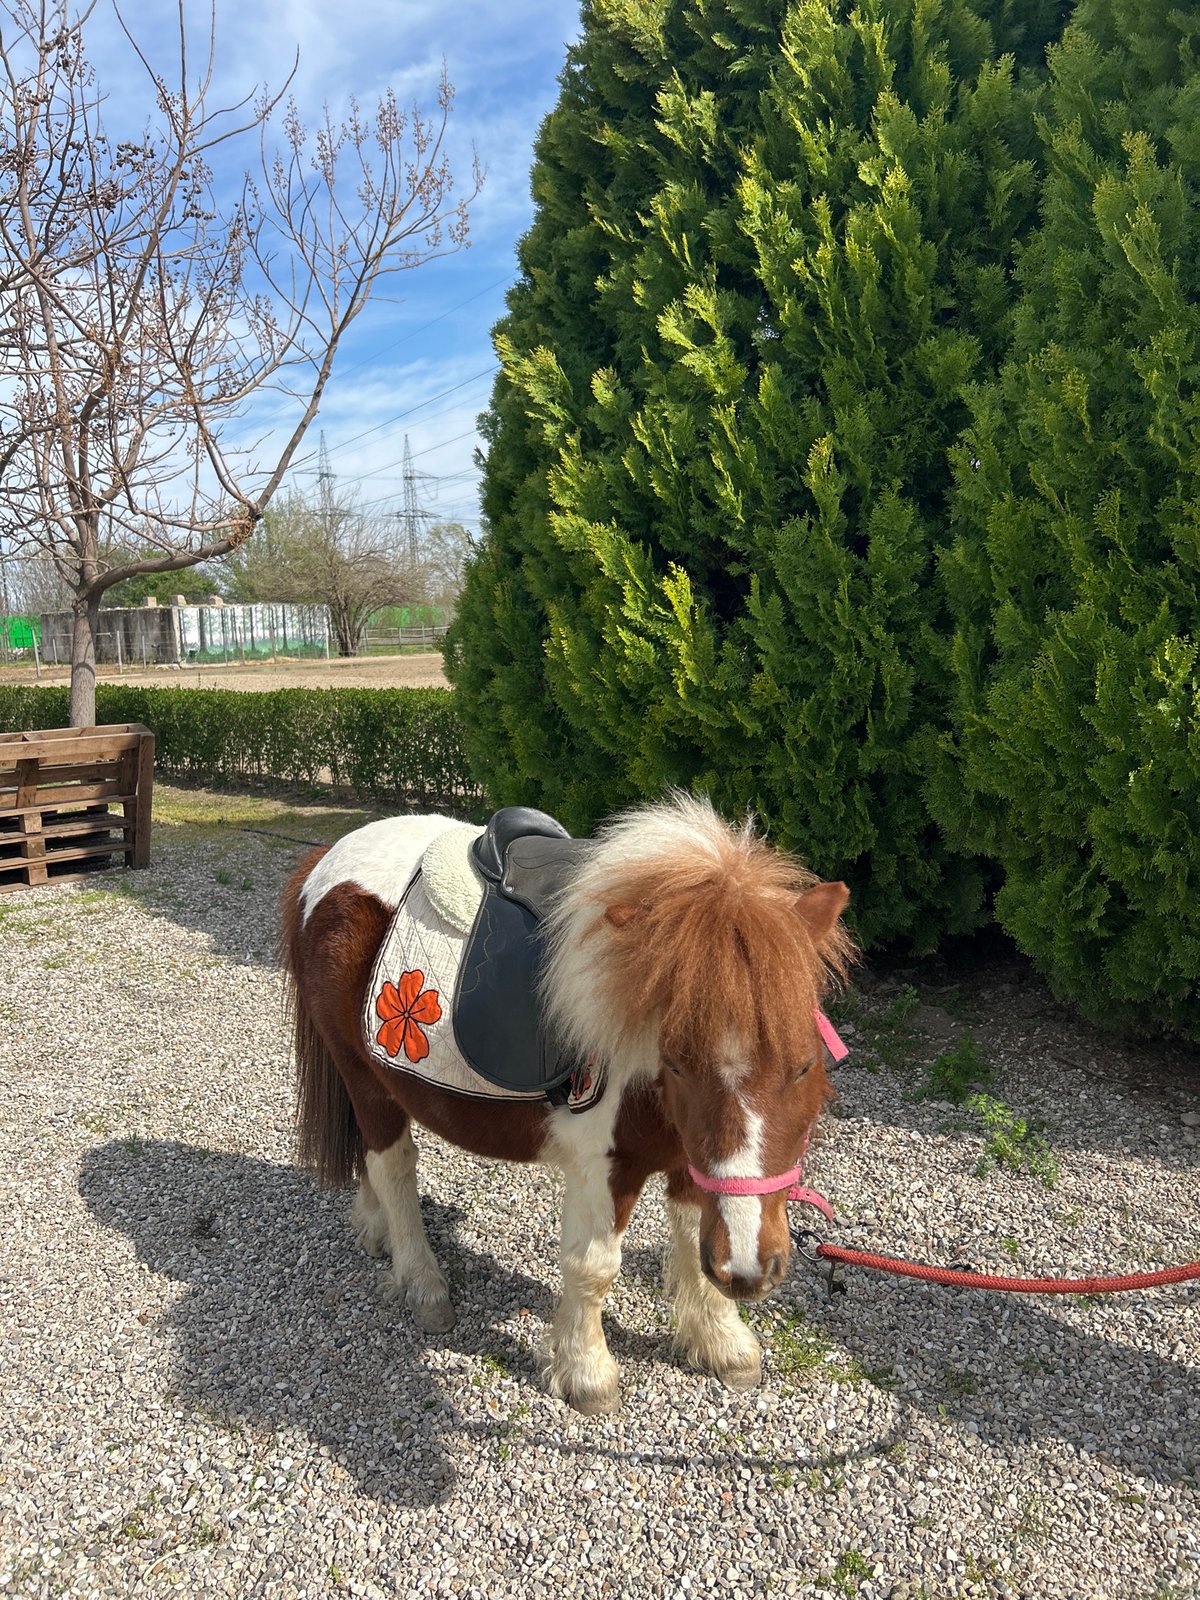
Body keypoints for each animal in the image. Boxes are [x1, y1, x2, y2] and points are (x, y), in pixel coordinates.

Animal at [280, 793, 855, 1414]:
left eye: (804, 1064)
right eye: (677, 1062)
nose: (749, 1271)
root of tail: (325, 861)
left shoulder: (690, 1158)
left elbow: (691, 1240)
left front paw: (722, 1343)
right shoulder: (602, 1165)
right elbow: (594, 1267)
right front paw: (587, 1374)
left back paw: (374, 1227)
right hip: (366, 1079)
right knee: (393, 1167)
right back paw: (422, 1282)